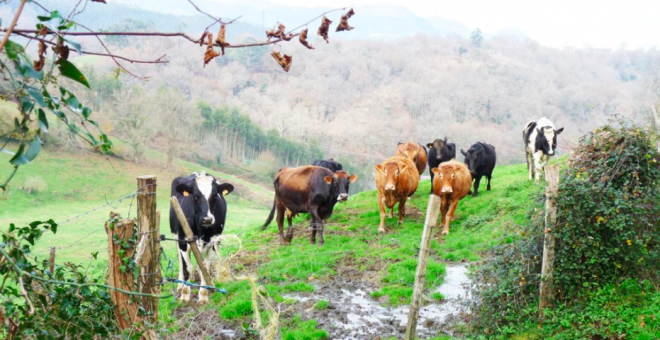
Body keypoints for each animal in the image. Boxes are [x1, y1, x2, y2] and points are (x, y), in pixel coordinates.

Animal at [170, 173, 235, 302]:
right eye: (195, 196)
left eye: (214, 196)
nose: (207, 219)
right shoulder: (183, 242)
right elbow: (187, 268)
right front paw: (185, 294)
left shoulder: (214, 243)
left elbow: (205, 267)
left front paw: (204, 295)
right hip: (176, 238)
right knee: (181, 262)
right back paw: (180, 285)